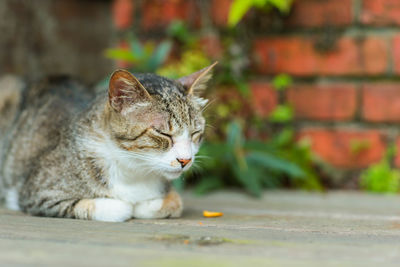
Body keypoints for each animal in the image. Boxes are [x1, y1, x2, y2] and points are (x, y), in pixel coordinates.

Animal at [0, 62, 216, 222]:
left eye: (196, 133)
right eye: (162, 133)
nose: (185, 160)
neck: (133, 169)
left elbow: (173, 202)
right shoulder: (38, 193)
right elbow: (112, 207)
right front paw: (125, 205)